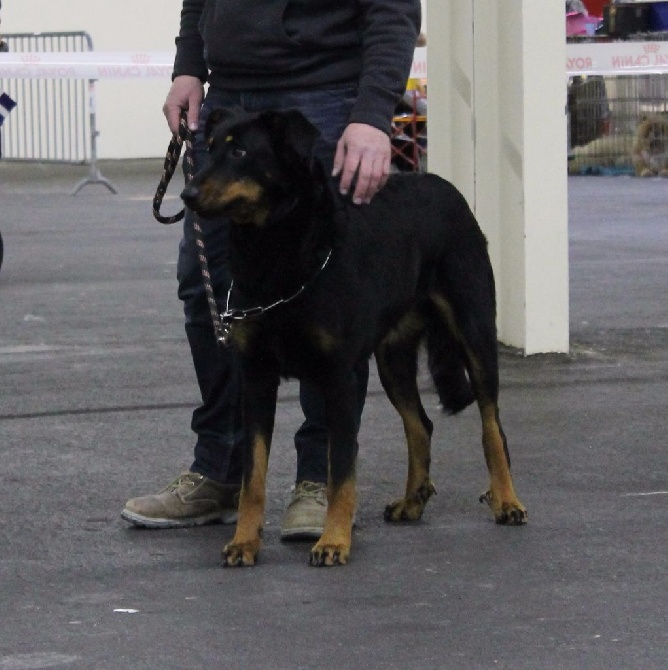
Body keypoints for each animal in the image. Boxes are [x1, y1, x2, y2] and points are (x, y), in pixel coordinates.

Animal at [183, 109, 528, 568]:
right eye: (209, 147)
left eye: (239, 152)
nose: (186, 193)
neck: (276, 252)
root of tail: (447, 188)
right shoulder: (256, 378)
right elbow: (251, 477)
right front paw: (244, 542)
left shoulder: (341, 377)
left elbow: (341, 469)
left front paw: (332, 541)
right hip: (393, 359)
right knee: (420, 425)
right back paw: (412, 501)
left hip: (474, 330)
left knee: (493, 427)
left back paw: (506, 500)